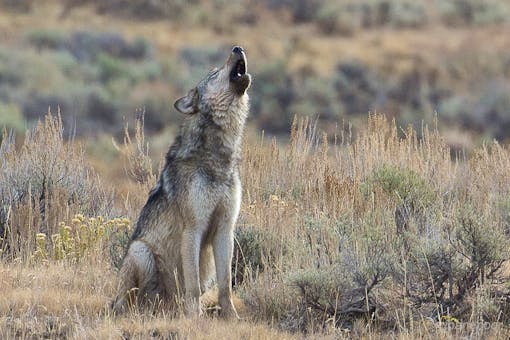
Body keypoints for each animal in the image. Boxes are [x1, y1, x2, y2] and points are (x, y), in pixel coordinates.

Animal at [114, 45, 253, 318]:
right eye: (213, 73)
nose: (238, 47)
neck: (216, 158)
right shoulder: (193, 230)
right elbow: (194, 286)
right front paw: (195, 318)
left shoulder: (225, 230)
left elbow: (225, 286)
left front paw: (231, 317)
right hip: (140, 251)